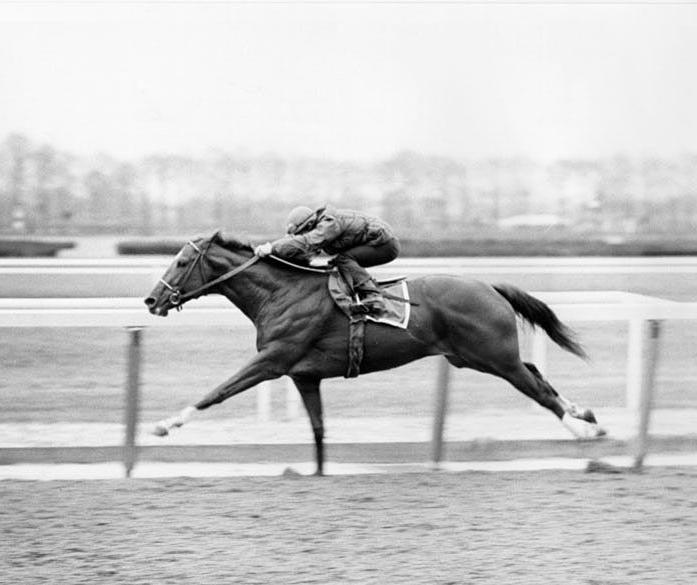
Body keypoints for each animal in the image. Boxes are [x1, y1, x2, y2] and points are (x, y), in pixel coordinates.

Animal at [143, 229, 604, 474]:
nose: (151, 300)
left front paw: (165, 424)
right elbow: (319, 430)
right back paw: (585, 415)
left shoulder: (273, 360)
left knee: (536, 388)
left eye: (181, 263)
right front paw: (317, 472)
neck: (281, 292)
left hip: (493, 357)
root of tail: (489, 286)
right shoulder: (304, 375)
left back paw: (580, 429)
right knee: (535, 371)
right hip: (473, 356)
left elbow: (218, 390)